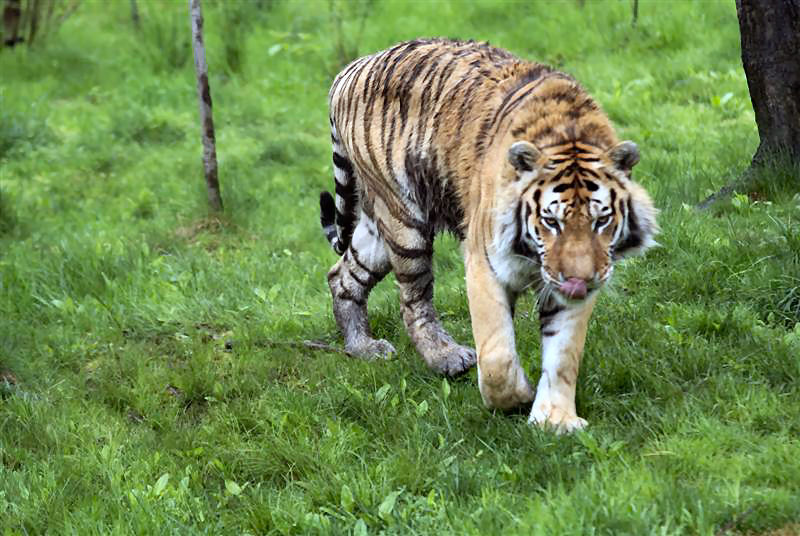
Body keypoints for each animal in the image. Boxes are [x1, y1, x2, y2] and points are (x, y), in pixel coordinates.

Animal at [319, 39, 658, 432]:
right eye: (551, 221)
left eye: (601, 221)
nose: (578, 282)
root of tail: (352, 67)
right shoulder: (485, 263)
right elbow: (496, 356)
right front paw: (519, 396)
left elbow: (564, 354)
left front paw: (555, 419)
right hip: (405, 219)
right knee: (413, 300)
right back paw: (446, 357)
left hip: (380, 225)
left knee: (341, 277)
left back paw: (363, 348)